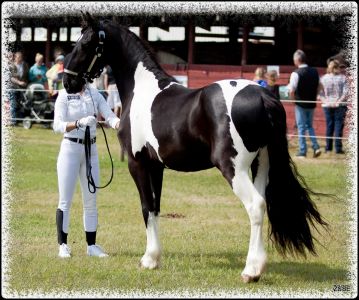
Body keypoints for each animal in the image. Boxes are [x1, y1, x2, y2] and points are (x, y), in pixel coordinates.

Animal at [63, 12, 328, 284]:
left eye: (85, 43)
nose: (68, 81)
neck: (143, 90)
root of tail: (264, 96)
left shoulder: (138, 163)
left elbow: (146, 207)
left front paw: (148, 259)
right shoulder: (157, 166)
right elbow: (156, 208)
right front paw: (155, 258)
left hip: (233, 167)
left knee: (255, 206)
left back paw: (250, 271)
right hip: (262, 164)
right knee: (263, 203)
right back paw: (256, 265)